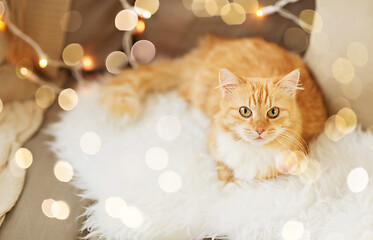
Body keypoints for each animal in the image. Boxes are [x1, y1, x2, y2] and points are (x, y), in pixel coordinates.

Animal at [100, 35, 326, 182]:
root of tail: (211, 45)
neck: (252, 151)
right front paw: (227, 183)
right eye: (245, 111)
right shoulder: (216, 146)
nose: (259, 129)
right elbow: (223, 169)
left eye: (273, 112)